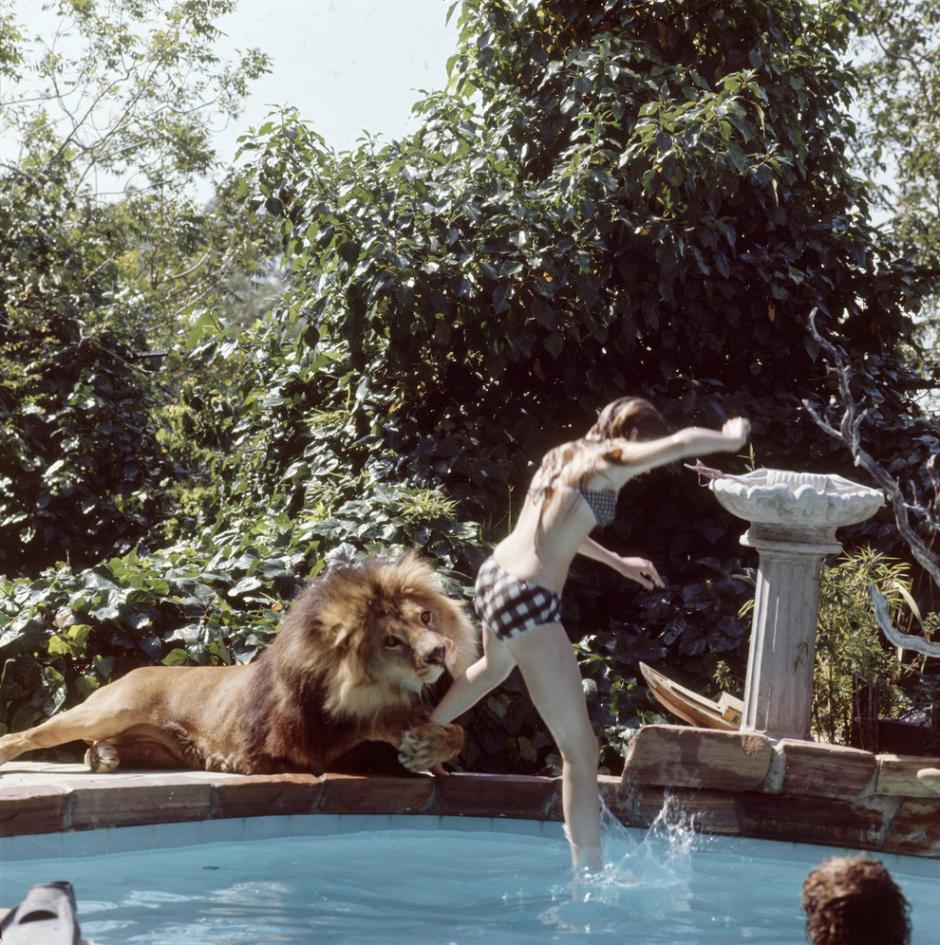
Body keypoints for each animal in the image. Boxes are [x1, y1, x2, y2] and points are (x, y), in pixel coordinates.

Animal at [0, 552, 478, 776]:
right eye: (391, 640)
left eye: (426, 617)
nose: (439, 653)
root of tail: (133, 669)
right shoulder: (297, 748)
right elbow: (368, 723)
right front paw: (411, 733)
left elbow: (457, 732)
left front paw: (435, 742)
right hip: (107, 710)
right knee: (30, 734)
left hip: (157, 748)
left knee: (97, 749)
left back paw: (103, 757)